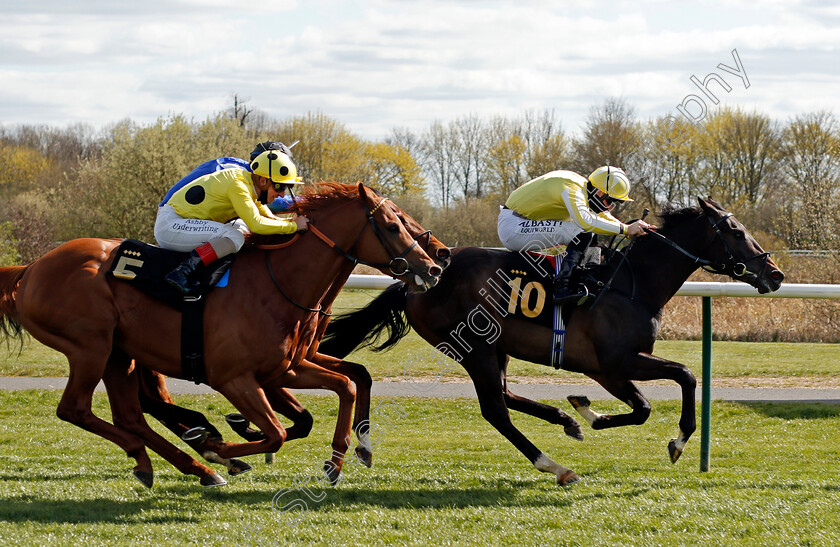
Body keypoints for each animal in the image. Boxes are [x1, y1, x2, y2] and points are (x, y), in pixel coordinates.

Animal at [0, 183, 442, 488]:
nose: (434, 266)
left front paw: (343, 457)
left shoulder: (288, 367)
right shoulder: (235, 378)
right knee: (75, 409)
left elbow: (349, 383)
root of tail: (32, 268)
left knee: (131, 415)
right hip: (90, 348)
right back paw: (194, 455)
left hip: (119, 355)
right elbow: (277, 432)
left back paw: (180, 464)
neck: (279, 282)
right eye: (393, 225)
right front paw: (223, 446)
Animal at [322, 196, 788, 484]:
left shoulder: (609, 370)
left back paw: (564, 421)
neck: (630, 285)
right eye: (736, 231)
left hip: (495, 347)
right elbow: (684, 377)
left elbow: (644, 406)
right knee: (495, 410)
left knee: (506, 396)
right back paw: (555, 465)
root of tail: (418, 281)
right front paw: (676, 441)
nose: (775, 273)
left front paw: (585, 412)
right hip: (474, 348)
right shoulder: (615, 363)